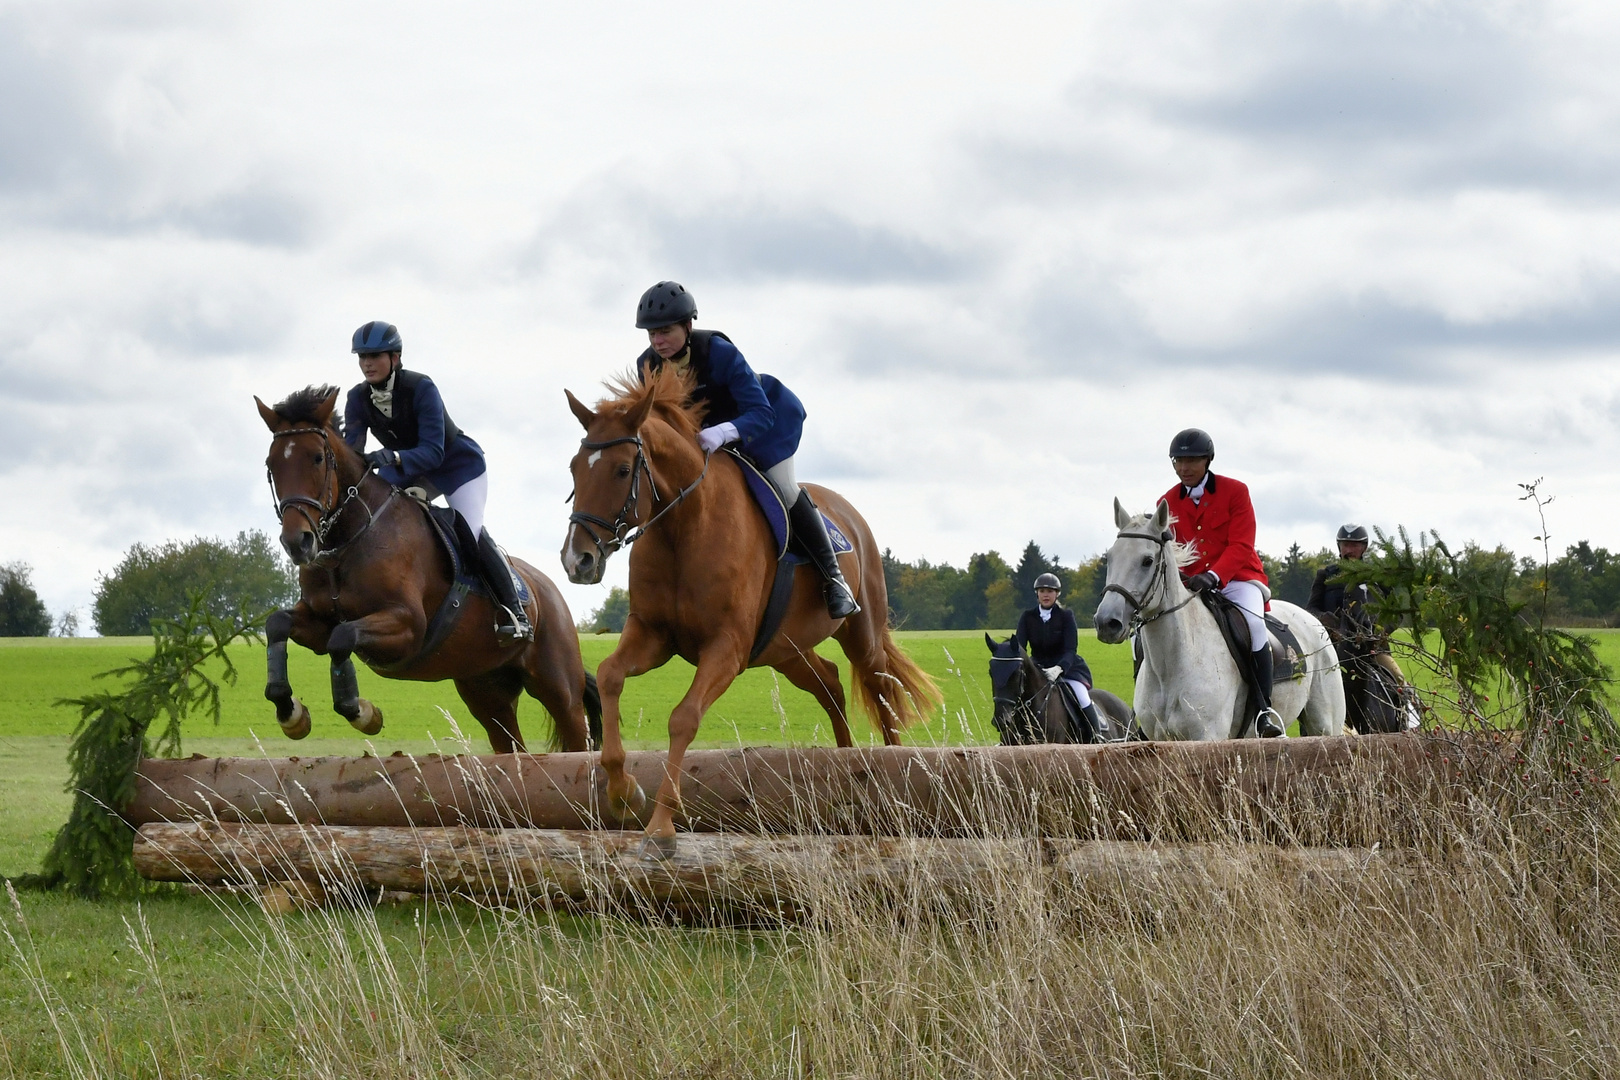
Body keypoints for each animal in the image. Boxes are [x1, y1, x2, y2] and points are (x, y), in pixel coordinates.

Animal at [255, 386, 599, 751]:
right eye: (271, 464)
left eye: (318, 459)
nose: (297, 542)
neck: (347, 542)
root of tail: (547, 589)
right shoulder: (320, 623)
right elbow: (280, 624)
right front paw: (291, 713)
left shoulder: (407, 625)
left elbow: (342, 637)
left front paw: (364, 713)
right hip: (486, 691)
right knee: (510, 745)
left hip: (559, 689)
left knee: (577, 737)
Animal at [560, 367, 946, 854]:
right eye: (573, 469)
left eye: (623, 470)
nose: (577, 561)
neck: (681, 528)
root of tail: (850, 513)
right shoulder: (654, 635)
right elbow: (610, 675)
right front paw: (623, 792)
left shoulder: (727, 648)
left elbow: (683, 718)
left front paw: (661, 826)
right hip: (786, 650)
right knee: (830, 684)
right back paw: (845, 761)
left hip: (862, 632)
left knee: (880, 692)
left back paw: (891, 767)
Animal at [1095, 501, 1347, 744]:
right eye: (1110, 557)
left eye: (1147, 561)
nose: (1107, 622)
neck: (1171, 665)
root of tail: (1308, 616)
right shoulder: (1159, 740)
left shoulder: (1208, 734)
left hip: (1326, 724)